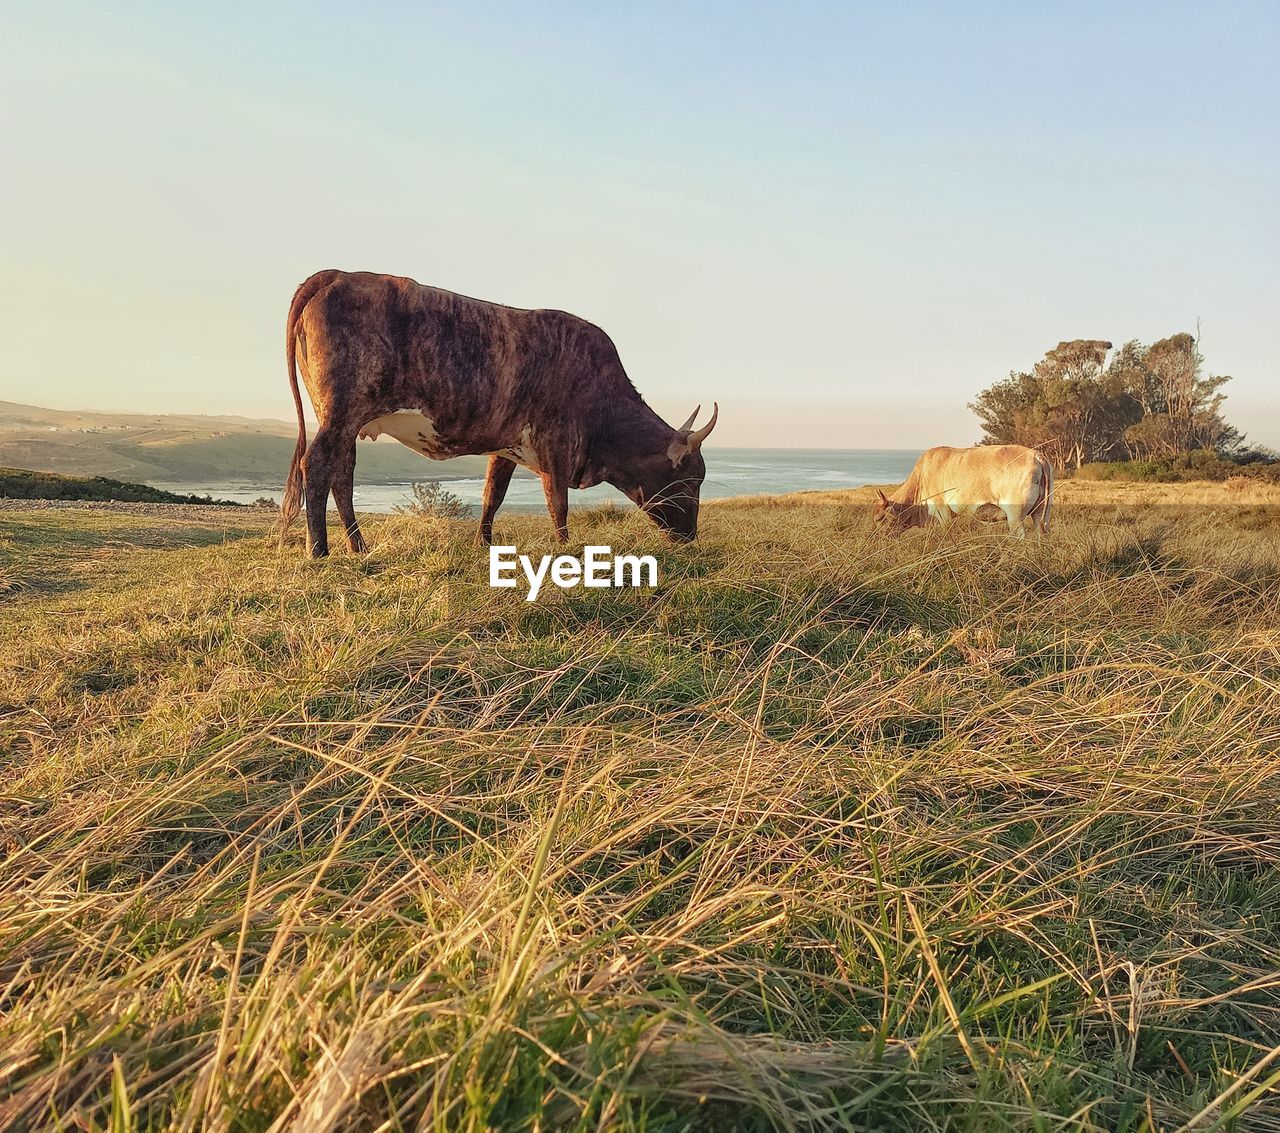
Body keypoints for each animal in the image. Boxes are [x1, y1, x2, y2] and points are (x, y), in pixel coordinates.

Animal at [280, 273, 716, 558]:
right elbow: (557, 502)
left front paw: (483, 543)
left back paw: (358, 546)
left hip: (346, 420)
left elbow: (493, 495)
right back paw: (319, 550)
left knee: (342, 473)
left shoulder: (506, 445)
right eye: (691, 479)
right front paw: (564, 549)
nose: (692, 537)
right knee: (317, 464)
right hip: (341, 412)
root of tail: (340, 274)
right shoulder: (555, 445)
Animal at [875, 442, 1054, 535]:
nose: (875, 538)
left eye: (879, 519)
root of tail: (1036, 455)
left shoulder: (942, 512)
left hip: (1015, 516)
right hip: (1041, 514)